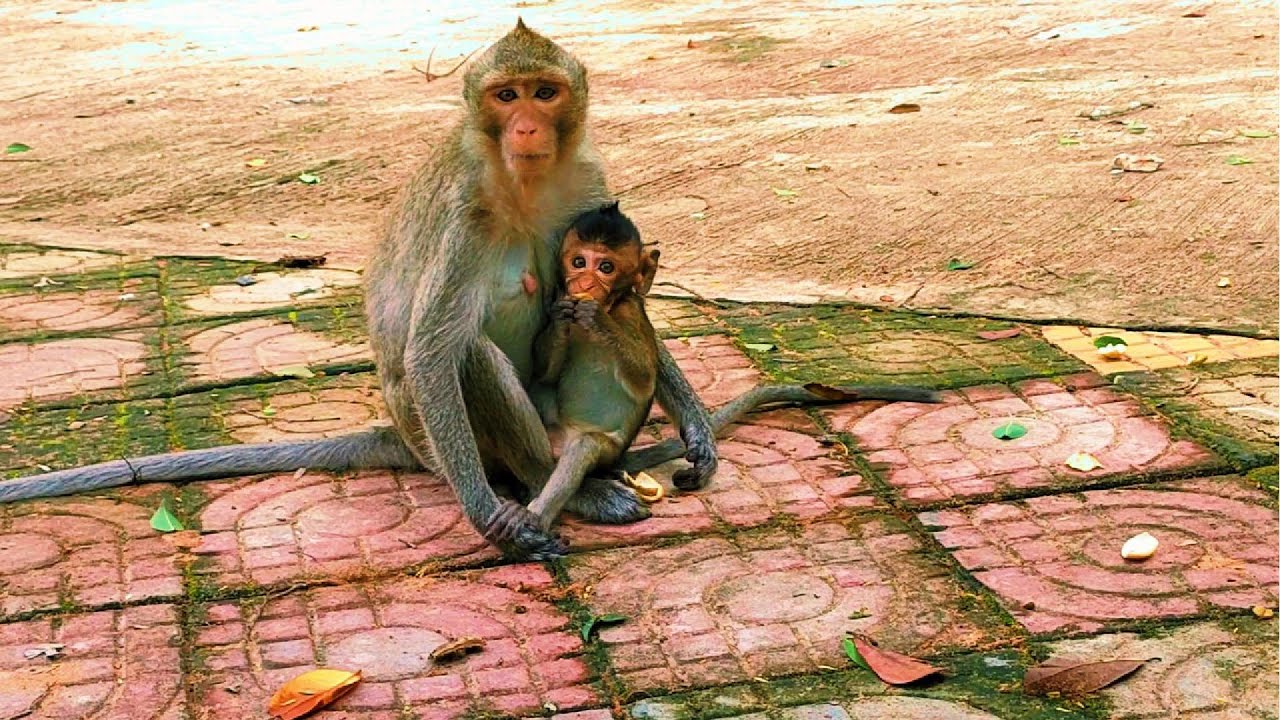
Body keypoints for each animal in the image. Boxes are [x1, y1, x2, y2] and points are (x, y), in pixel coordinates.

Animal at [0, 20, 721, 561]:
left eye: (544, 93)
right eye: (506, 96)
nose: (526, 128)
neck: (524, 181)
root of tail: (402, 436)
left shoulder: (588, 180)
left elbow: (631, 311)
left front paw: (695, 424)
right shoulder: (465, 215)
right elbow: (431, 352)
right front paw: (487, 518)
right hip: (444, 438)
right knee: (467, 357)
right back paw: (556, 488)